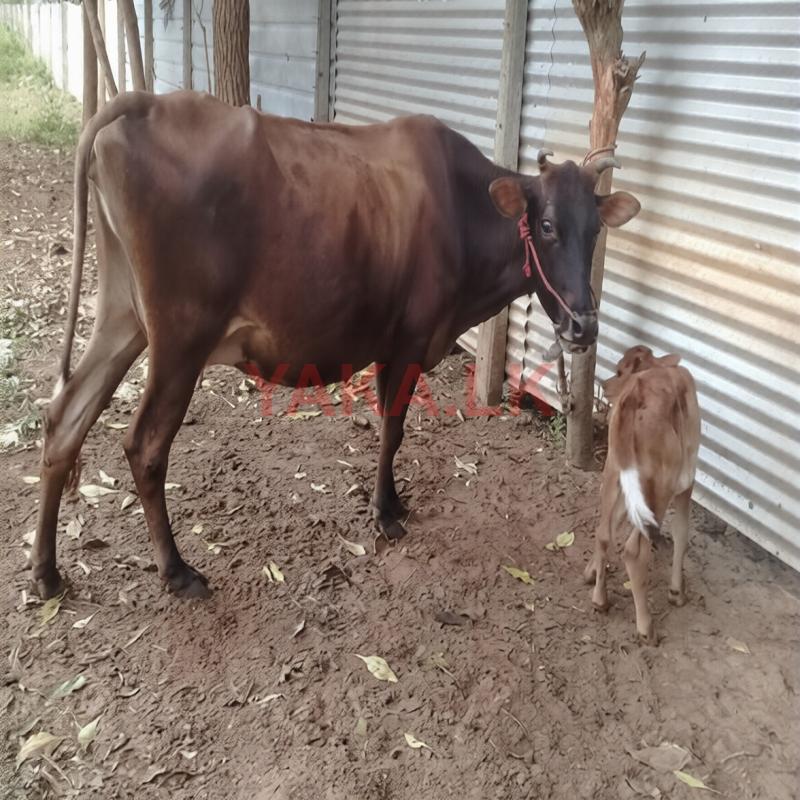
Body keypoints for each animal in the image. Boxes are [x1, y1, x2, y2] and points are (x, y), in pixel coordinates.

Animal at [31, 90, 641, 601]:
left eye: (595, 231)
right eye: (547, 225)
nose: (584, 326)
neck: (464, 210)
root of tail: (141, 102)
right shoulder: (410, 340)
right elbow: (393, 429)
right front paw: (386, 511)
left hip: (121, 315)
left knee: (65, 418)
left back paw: (46, 571)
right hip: (180, 337)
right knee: (145, 446)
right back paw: (176, 571)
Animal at [584, 346, 701, 644]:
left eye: (618, 371)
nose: (605, 386)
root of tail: (636, 394)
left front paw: (590, 571)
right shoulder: (686, 483)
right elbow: (682, 533)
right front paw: (676, 592)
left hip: (614, 468)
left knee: (604, 531)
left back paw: (600, 599)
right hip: (659, 486)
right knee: (633, 550)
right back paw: (646, 626)